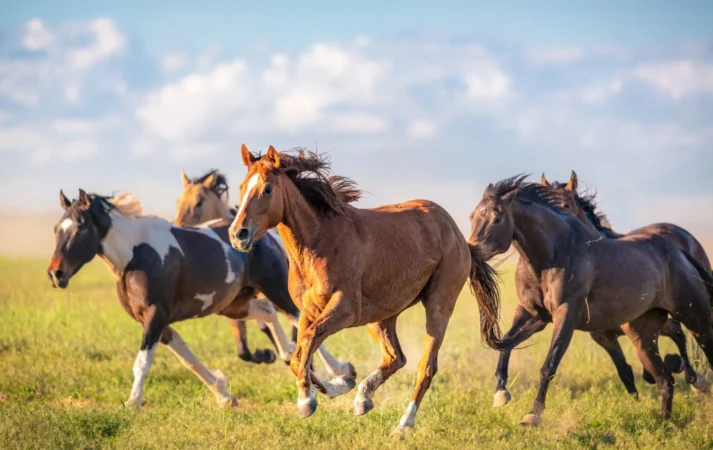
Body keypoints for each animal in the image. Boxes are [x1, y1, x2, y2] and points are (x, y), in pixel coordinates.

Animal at [174, 169, 354, 379]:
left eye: (199, 202)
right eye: (179, 201)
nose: (177, 226)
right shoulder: (236, 303)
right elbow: (244, 347)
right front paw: (267, 354)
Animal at [227, 145, 503, 435]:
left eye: (268, 188)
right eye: (243, 186)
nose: (238, 234)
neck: (319, 244)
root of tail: (457, 234)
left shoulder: (345, 310)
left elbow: (307, 344)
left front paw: (306, 401)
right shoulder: (308, 311)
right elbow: (298, 354)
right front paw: (340, 384)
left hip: (439, 306)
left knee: (425, 368)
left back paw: (403, 426)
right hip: (382, 316)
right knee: (396, 357)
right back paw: (363, 398)